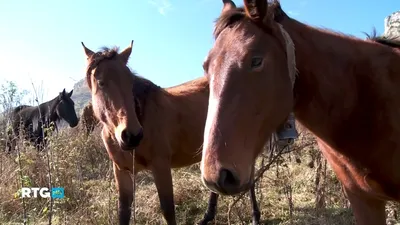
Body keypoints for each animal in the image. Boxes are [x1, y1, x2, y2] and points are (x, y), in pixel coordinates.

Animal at [81, 40, 262, 225]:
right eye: (101, 82)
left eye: (130, 82)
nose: (132, 135)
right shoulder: (121, 171)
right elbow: (123, 213)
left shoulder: (161, 166)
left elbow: (168, 210)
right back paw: (207, 216)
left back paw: (255, 216)